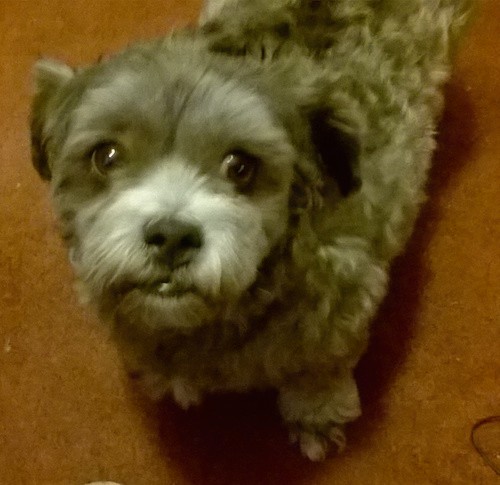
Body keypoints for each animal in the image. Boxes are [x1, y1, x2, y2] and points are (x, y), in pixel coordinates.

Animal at [32, 0, 472, 460]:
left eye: (240, 166)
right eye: (107, 156)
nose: (172, 237)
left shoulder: (347, 296)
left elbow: (320, 367)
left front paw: (316, 411)